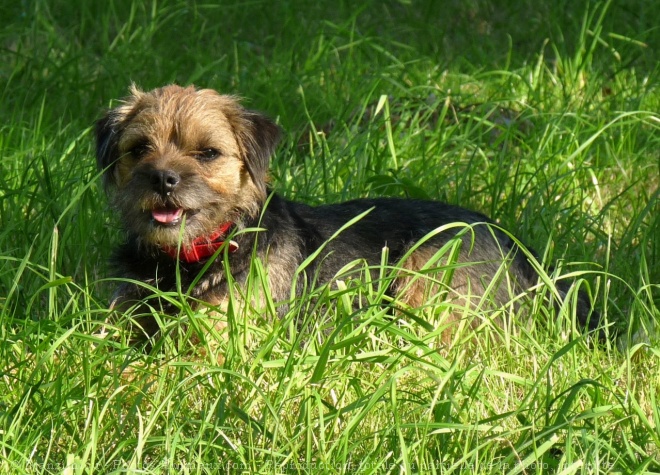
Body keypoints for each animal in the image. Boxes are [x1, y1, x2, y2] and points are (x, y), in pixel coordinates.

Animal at [94, 85, 604, 344]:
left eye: (207, 153)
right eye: (138, 150)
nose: (163, 179)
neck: (188, 258)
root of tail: (527, 256)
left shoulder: (217, 345)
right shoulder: (116, 324)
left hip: (425, 270)